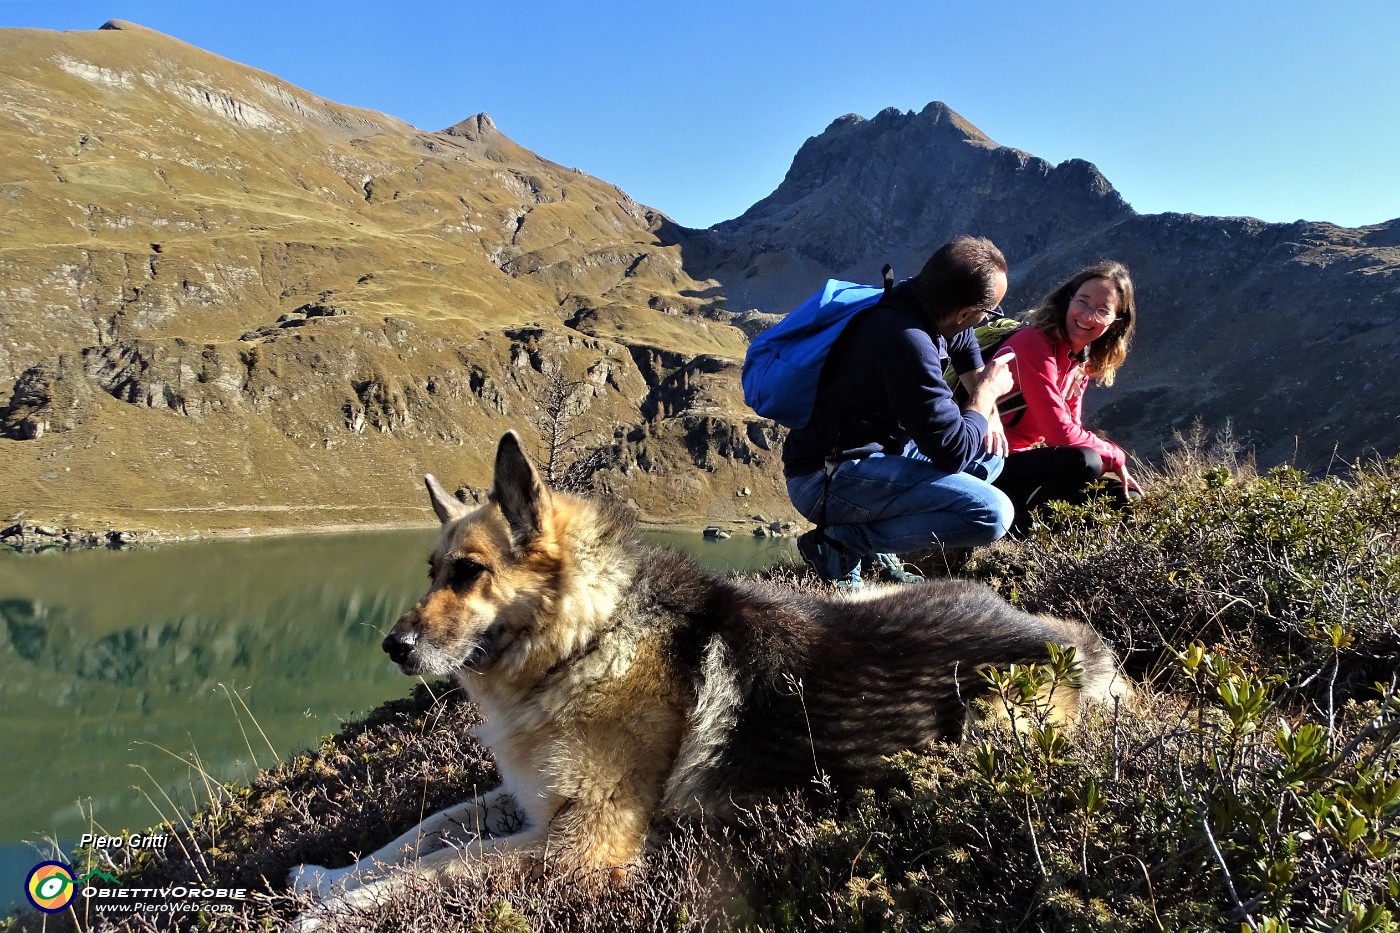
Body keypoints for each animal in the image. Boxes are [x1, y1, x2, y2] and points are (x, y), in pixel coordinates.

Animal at [292, 431, 1125, 924]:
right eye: (433, 570)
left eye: (468, 573)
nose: (393, 646)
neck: (587, 640)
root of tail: (1070, 638)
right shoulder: (526, 802)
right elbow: (418, 834)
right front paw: (325, 876)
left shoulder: (583, 846)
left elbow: (440, 865)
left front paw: (331, 910)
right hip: (860, 595)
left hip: (993, 726)